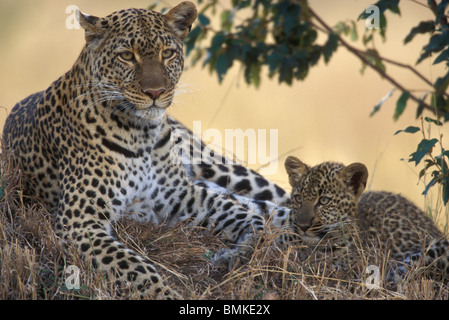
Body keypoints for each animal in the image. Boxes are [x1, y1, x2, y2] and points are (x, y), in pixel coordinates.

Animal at [2, 1, 290, 298]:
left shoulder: (181, 194)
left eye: (168, 53)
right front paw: (165, 293)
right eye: (127, 56)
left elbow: (238, 214)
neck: (141, 134)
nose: (155, 92)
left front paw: (249, 245)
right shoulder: (80, 221)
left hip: (217, 167)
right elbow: (132, 266)